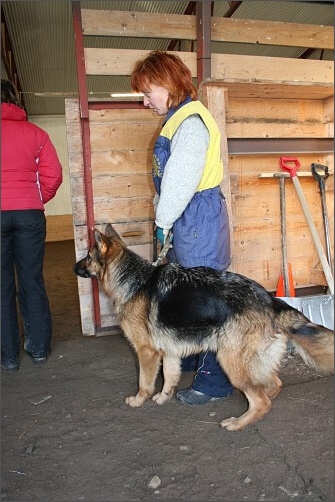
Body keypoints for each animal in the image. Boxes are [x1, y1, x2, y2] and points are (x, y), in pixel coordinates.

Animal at [73, 225, 334, 432]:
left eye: (87, 256)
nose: (74, 267)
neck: (134, 280)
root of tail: (271, 301)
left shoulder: (146, 352)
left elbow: (144, 382)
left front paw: (139, 400)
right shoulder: (170, 352)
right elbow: (170, 377)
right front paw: (163, 397)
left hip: (230, 361)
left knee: (261, 400)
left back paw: (238, 423)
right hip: (252, 361)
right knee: (272, 386)